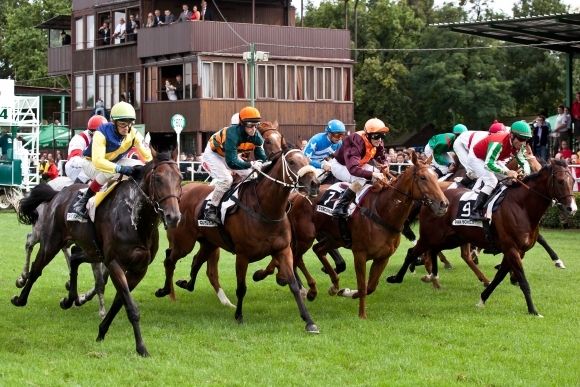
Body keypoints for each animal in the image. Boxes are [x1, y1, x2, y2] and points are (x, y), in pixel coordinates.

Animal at [13, 149, 181, 358]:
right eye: (158, 179)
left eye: (180, 178)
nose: (173, 217)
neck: (135, 218)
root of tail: (58, 193)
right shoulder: (115, 263)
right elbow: (129, 306)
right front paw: (141, 347)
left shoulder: (138, 269)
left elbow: (118, 301)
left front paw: (102, 330)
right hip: (51, 242)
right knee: (36, 267)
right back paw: (20, 296)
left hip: (91, 250)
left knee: (74, 257)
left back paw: (69, 298)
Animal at [154, 144, 322, 332]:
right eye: (292, 162)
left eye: (307, 160)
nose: (315, 184)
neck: (265, 208)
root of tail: (182, 193)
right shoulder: (242, 255)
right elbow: (241, 288)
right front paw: (239, 316)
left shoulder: (283, 250)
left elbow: (293, 284)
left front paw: (309, 321)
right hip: (184, 243)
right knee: (169, 259)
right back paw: (164, 291)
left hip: (209, 243)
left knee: (197, 261)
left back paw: (186, 284)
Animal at [388, 159, 576, 316]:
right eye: (560, 181)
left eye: (573, 181)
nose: (572, 208)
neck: (521, 206)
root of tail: (431, 201)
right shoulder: (512, 249)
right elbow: (523, 280)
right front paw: (533, 310)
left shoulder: (515, 251)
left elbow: (500, 276)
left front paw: (483, 298)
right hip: (431, 236)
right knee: (413, 251)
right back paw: (399, 277)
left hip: (452, 238)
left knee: (434, 251)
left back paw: (432, 276)